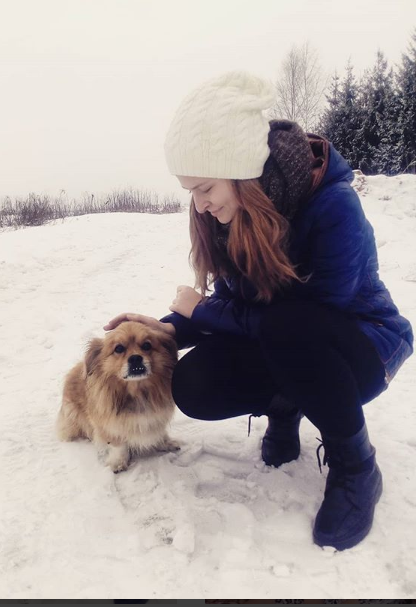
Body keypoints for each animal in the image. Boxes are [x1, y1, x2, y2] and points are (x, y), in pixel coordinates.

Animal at [56, 321, 180, 472]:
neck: (137, 393)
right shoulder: (110, 425)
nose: (135, 358)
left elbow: (159, 432)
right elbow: (118, 445)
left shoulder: (156, 418)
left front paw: (164, 443)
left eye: (147, 345)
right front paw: (119, 462)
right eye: (119, 348)